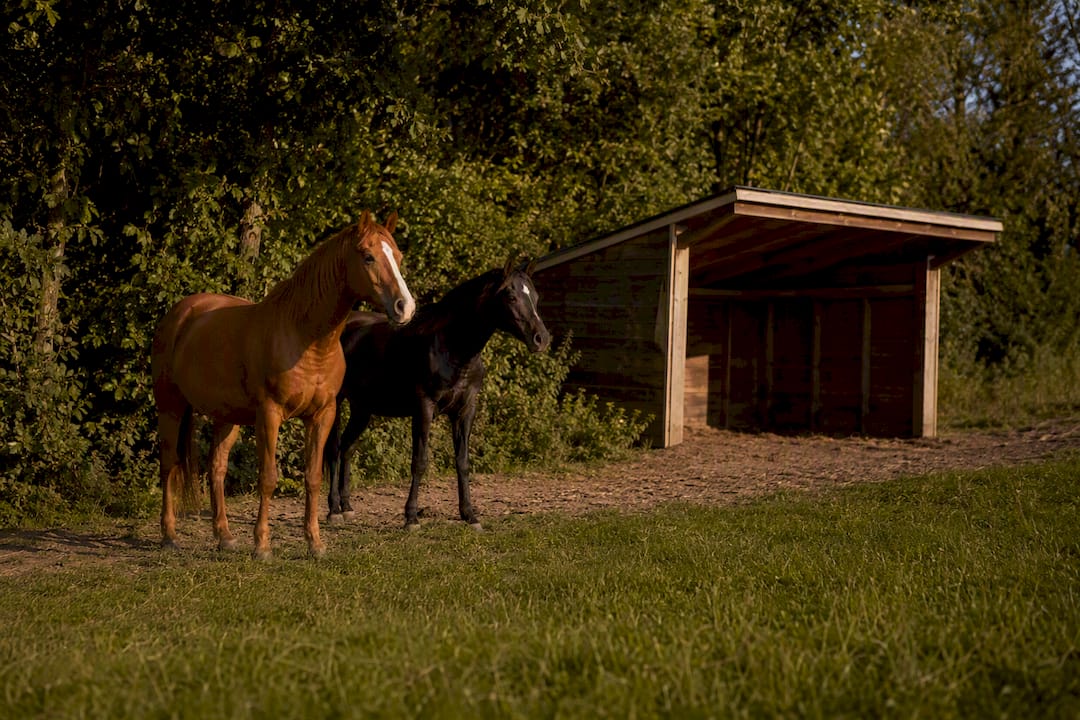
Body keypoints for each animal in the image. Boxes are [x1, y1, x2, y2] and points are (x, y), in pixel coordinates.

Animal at [151, 211, 416, 559]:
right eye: (368, 256)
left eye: (398, 257)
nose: (405, 307)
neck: (306, 338)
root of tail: (181, 313)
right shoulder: (270, 414)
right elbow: (268, 478)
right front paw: (262, 545)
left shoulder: (322, 415)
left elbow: (313, 477)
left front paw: (315, 543)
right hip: (170, 406)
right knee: (168, 465)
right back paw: (169, 535)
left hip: (227, 417)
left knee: (216, 468)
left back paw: (224, 536)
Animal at [323, 258, 551, 530]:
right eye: (511, 296)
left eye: (535, 296)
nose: (541, 339)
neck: (451, 347)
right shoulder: (424, 408)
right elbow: (419, 461)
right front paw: (411, 517)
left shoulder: (465, 411)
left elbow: (462, 462)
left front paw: (470, 515)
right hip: (336, 402)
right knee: (334, 449)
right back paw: (334, 510)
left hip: (363, 408)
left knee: (347, 448)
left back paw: (347, 507)